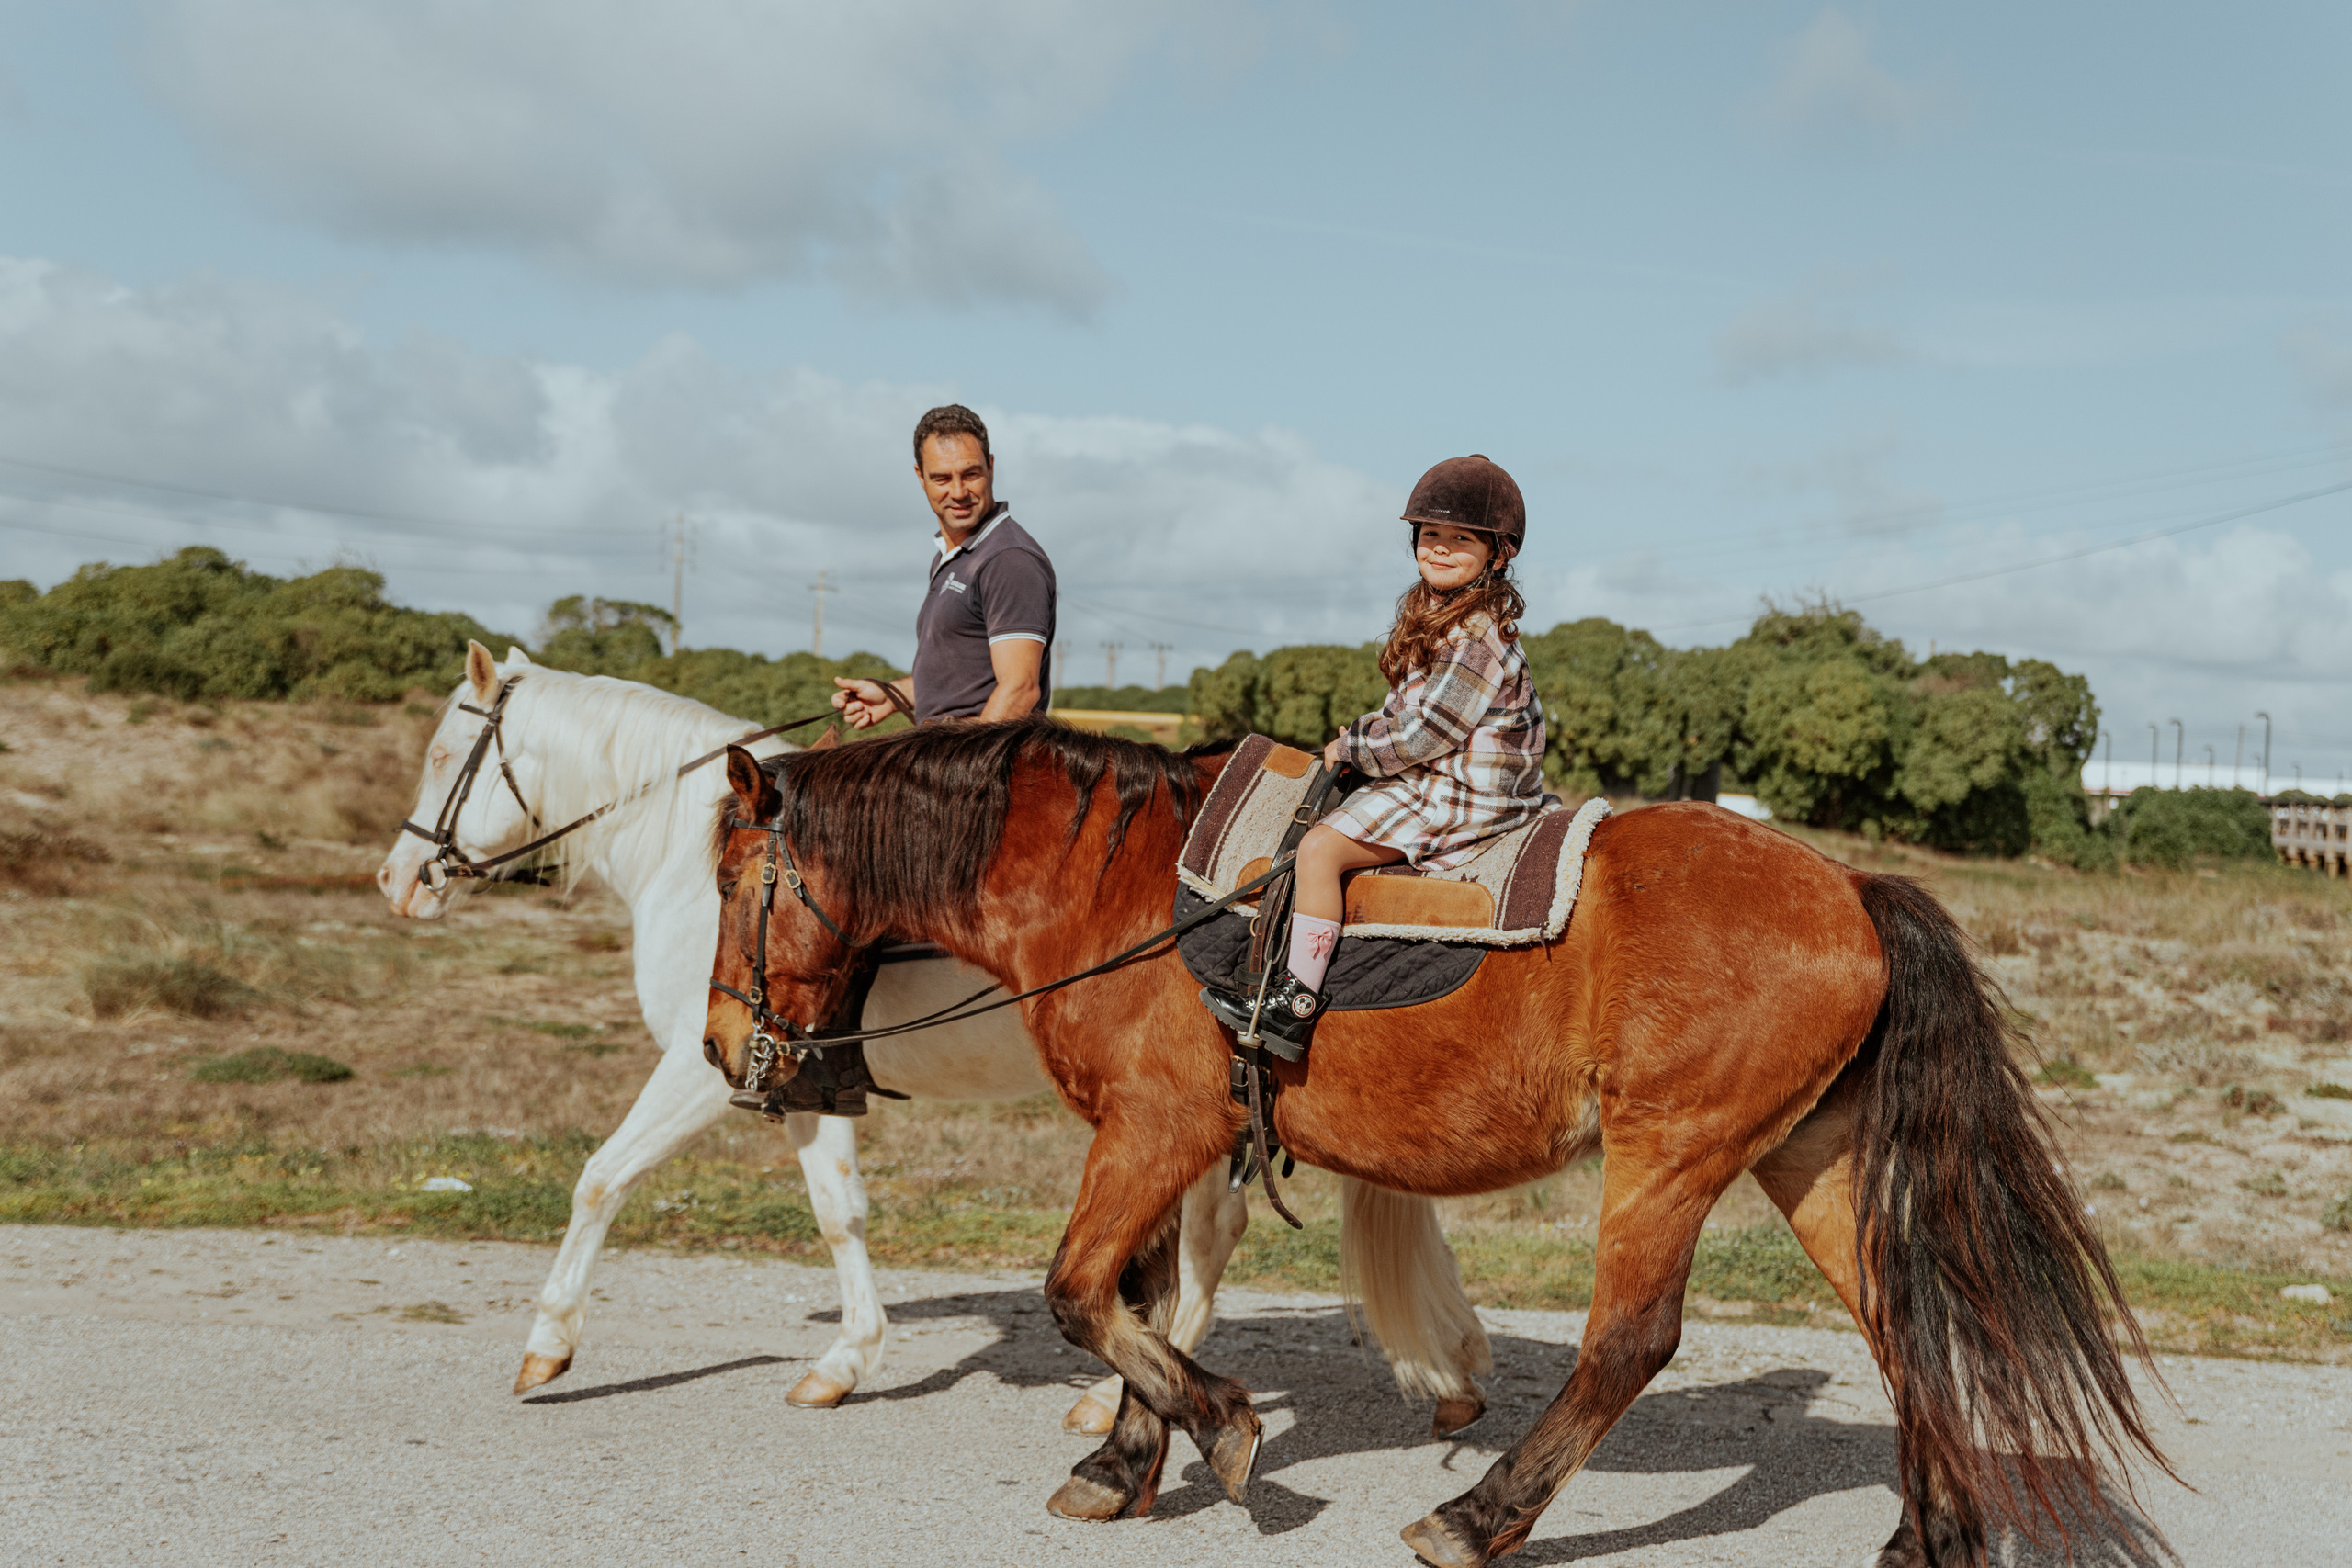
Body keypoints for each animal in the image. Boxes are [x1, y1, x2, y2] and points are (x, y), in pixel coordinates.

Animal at [377, 642, 1490, 1433]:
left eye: (438, 755)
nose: (397, 880)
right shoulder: (791, 1065)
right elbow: (840, 1214)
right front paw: (845, 1362)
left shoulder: (710, 1070)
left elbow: (601, 1178)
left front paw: (547, 1346)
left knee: (1210, 1234)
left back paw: (1121, 1394)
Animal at [701, 716, 2171, 1567]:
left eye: (729, 877)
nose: (723, 1049)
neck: (1111, 884)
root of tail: (1852, 887)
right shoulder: (1148, 1135)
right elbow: (1137, 1299)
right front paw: (1122, 1465)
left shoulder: (1155, 1127)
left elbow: (1080, 1294)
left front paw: (1223, 1428)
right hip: (1806, 1155)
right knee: (1903, 1324)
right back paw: (1935, 1532)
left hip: (1672, 1155)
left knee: (1630, 1341)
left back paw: (1478, 1516)